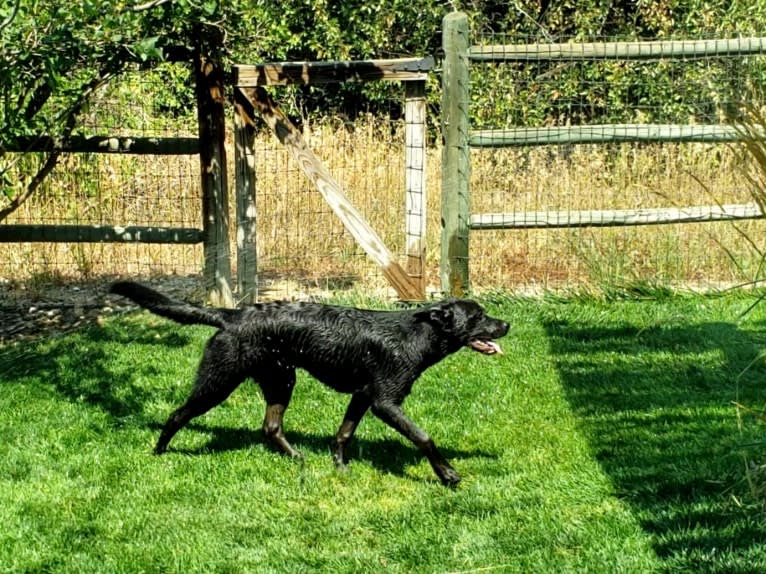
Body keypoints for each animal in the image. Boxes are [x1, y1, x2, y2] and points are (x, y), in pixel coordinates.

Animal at [109, 282, 510, 486]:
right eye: (478, 316)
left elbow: (344, 433)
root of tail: (231, 315)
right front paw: (448, 474)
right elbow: (424, 437)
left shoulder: (362, 396)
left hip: (281, 380)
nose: (507, 325)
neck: (418, 335)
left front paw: (340, 467)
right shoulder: (384, 402)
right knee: (178, 414)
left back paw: (298, 459)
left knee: (270, 427)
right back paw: (159, 452)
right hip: (218, 382)